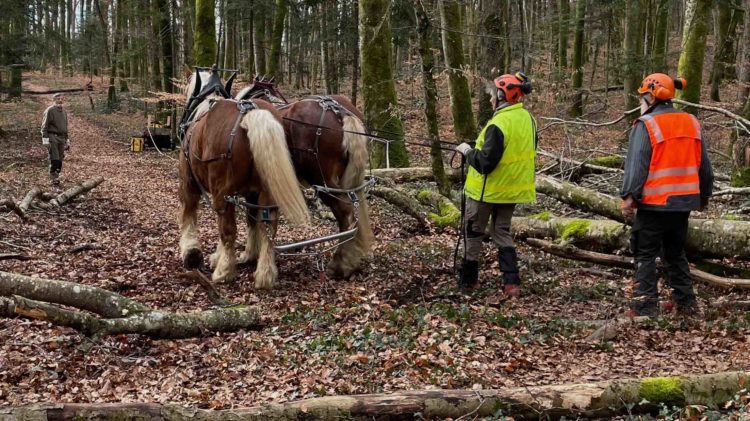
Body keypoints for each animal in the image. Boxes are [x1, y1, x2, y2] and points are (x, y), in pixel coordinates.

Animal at [178, 67, 310, 288]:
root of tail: (251, 112)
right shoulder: (251, 194)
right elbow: (251, 221)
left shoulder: (189, 181)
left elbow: (190, 213)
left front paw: (192, 252)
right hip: (266, 191)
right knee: (268, 226)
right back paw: (265, 273)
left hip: (222, 192)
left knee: (228, 229)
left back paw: (224, 272)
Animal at [238, 76, 374, 278]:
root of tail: (340, 112)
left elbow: (252, 217)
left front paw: (250, 255)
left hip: (321, 179)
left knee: (344, 211)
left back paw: (340, 263)